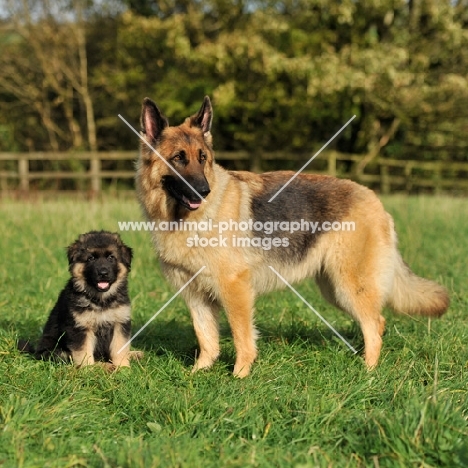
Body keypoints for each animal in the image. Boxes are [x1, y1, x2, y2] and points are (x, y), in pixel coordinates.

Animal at [18, 232, 143, 368]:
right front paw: (88, 369)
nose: (103, 273)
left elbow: (119, 348)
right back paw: (105, 366)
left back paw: (134, 354)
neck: (100, 300)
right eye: (91, 258)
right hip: (56, 352)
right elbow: (84, 352)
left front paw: (123, 367)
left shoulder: (120, 322)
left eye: (111, 257)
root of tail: (36, 352)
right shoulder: (80, 327)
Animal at [136, 97, 450, 378]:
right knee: (376, 321)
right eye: (178, 158)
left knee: (374, 323)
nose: (204, 192)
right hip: (335, 289)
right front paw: (199, 373)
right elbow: (206, 338)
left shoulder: (235, 290)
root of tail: (373, 198)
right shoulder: (195, 295)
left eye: (203, 159)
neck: (182, 219)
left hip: (349, 286)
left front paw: (240, 376)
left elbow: (241, 335)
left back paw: (368, 371)